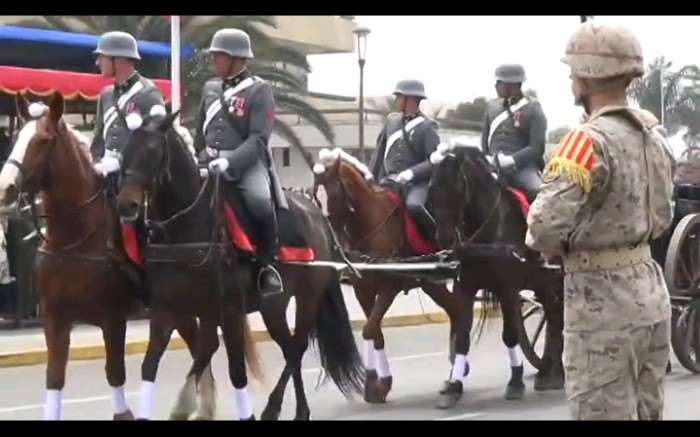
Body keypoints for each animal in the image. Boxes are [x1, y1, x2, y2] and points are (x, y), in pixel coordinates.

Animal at [0, 92, 211, 418]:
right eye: (18, 137)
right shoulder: (54, 318)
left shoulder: (112, 318)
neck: (74, 239)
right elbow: (54, 378)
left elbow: (115, 373)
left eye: (44, 140)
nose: (6, 188)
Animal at [112, 112, 364, 418]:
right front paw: (181, 405)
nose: (125, 205)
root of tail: (316, 213)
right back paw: (295, 409)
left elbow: (236, 371)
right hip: (271, 307)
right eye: (125, 152)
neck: (185, 230)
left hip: (307, 297)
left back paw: (275, 408)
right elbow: (154, 365)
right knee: (283, 346)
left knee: (297, 346)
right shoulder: (168, 309)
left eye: (151, 151)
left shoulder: (230, 310)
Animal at [314, 147, 474, 408]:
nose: (333, 243)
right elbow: (374, 331)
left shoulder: (389, 288)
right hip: (430, 283)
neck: (371, 224)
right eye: (314, 196)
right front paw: (376, 385)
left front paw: (378, 383)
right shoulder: (362, 289)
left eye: (334, 194)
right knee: (456, 311)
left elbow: (370, 329)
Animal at [426, 143, 568, 402]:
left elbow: (510, 334)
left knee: (556, 318)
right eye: (431, 188)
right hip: (544, 281)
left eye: (456, 188)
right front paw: (454, 386)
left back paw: (550, 372)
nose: (444, 238)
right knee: (554, 316)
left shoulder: (508, 290)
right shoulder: (465, 287)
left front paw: (515, 381)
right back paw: (551, 370)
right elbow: (462, 338)